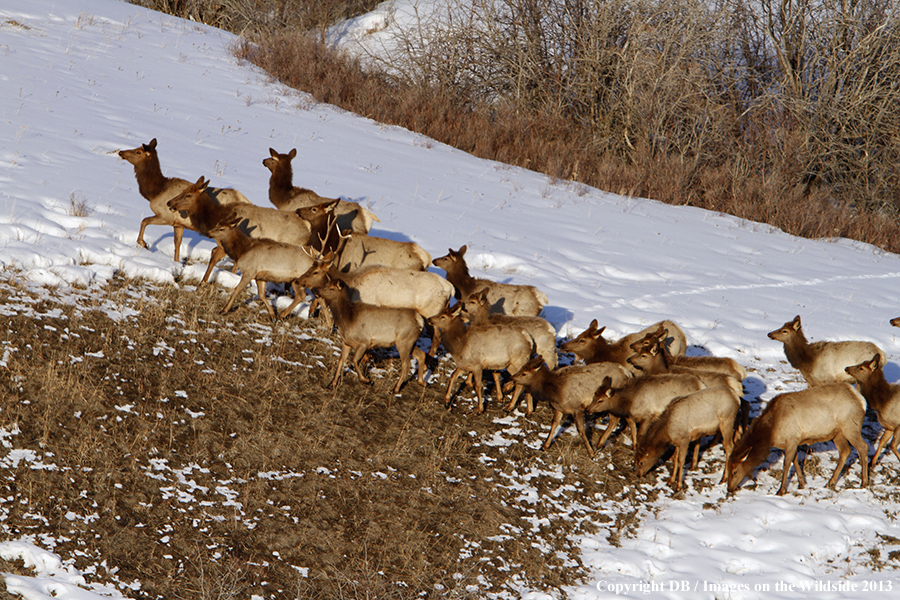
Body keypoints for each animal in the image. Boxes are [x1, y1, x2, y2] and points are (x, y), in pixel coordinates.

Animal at [118, 142, 250, 264]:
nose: (121, 152)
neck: (155, 192)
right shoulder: (178, 224)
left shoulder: (166, 217)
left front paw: (144, 244)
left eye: (138, 152)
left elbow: (144, 221)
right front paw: (176, 262)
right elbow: (177, 243)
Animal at [167, 176, 312, 284]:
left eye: (188, 195)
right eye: (183, 191)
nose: (169, 202)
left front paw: (203, 283)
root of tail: (308, 229)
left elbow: (215, 259)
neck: (216, 217)